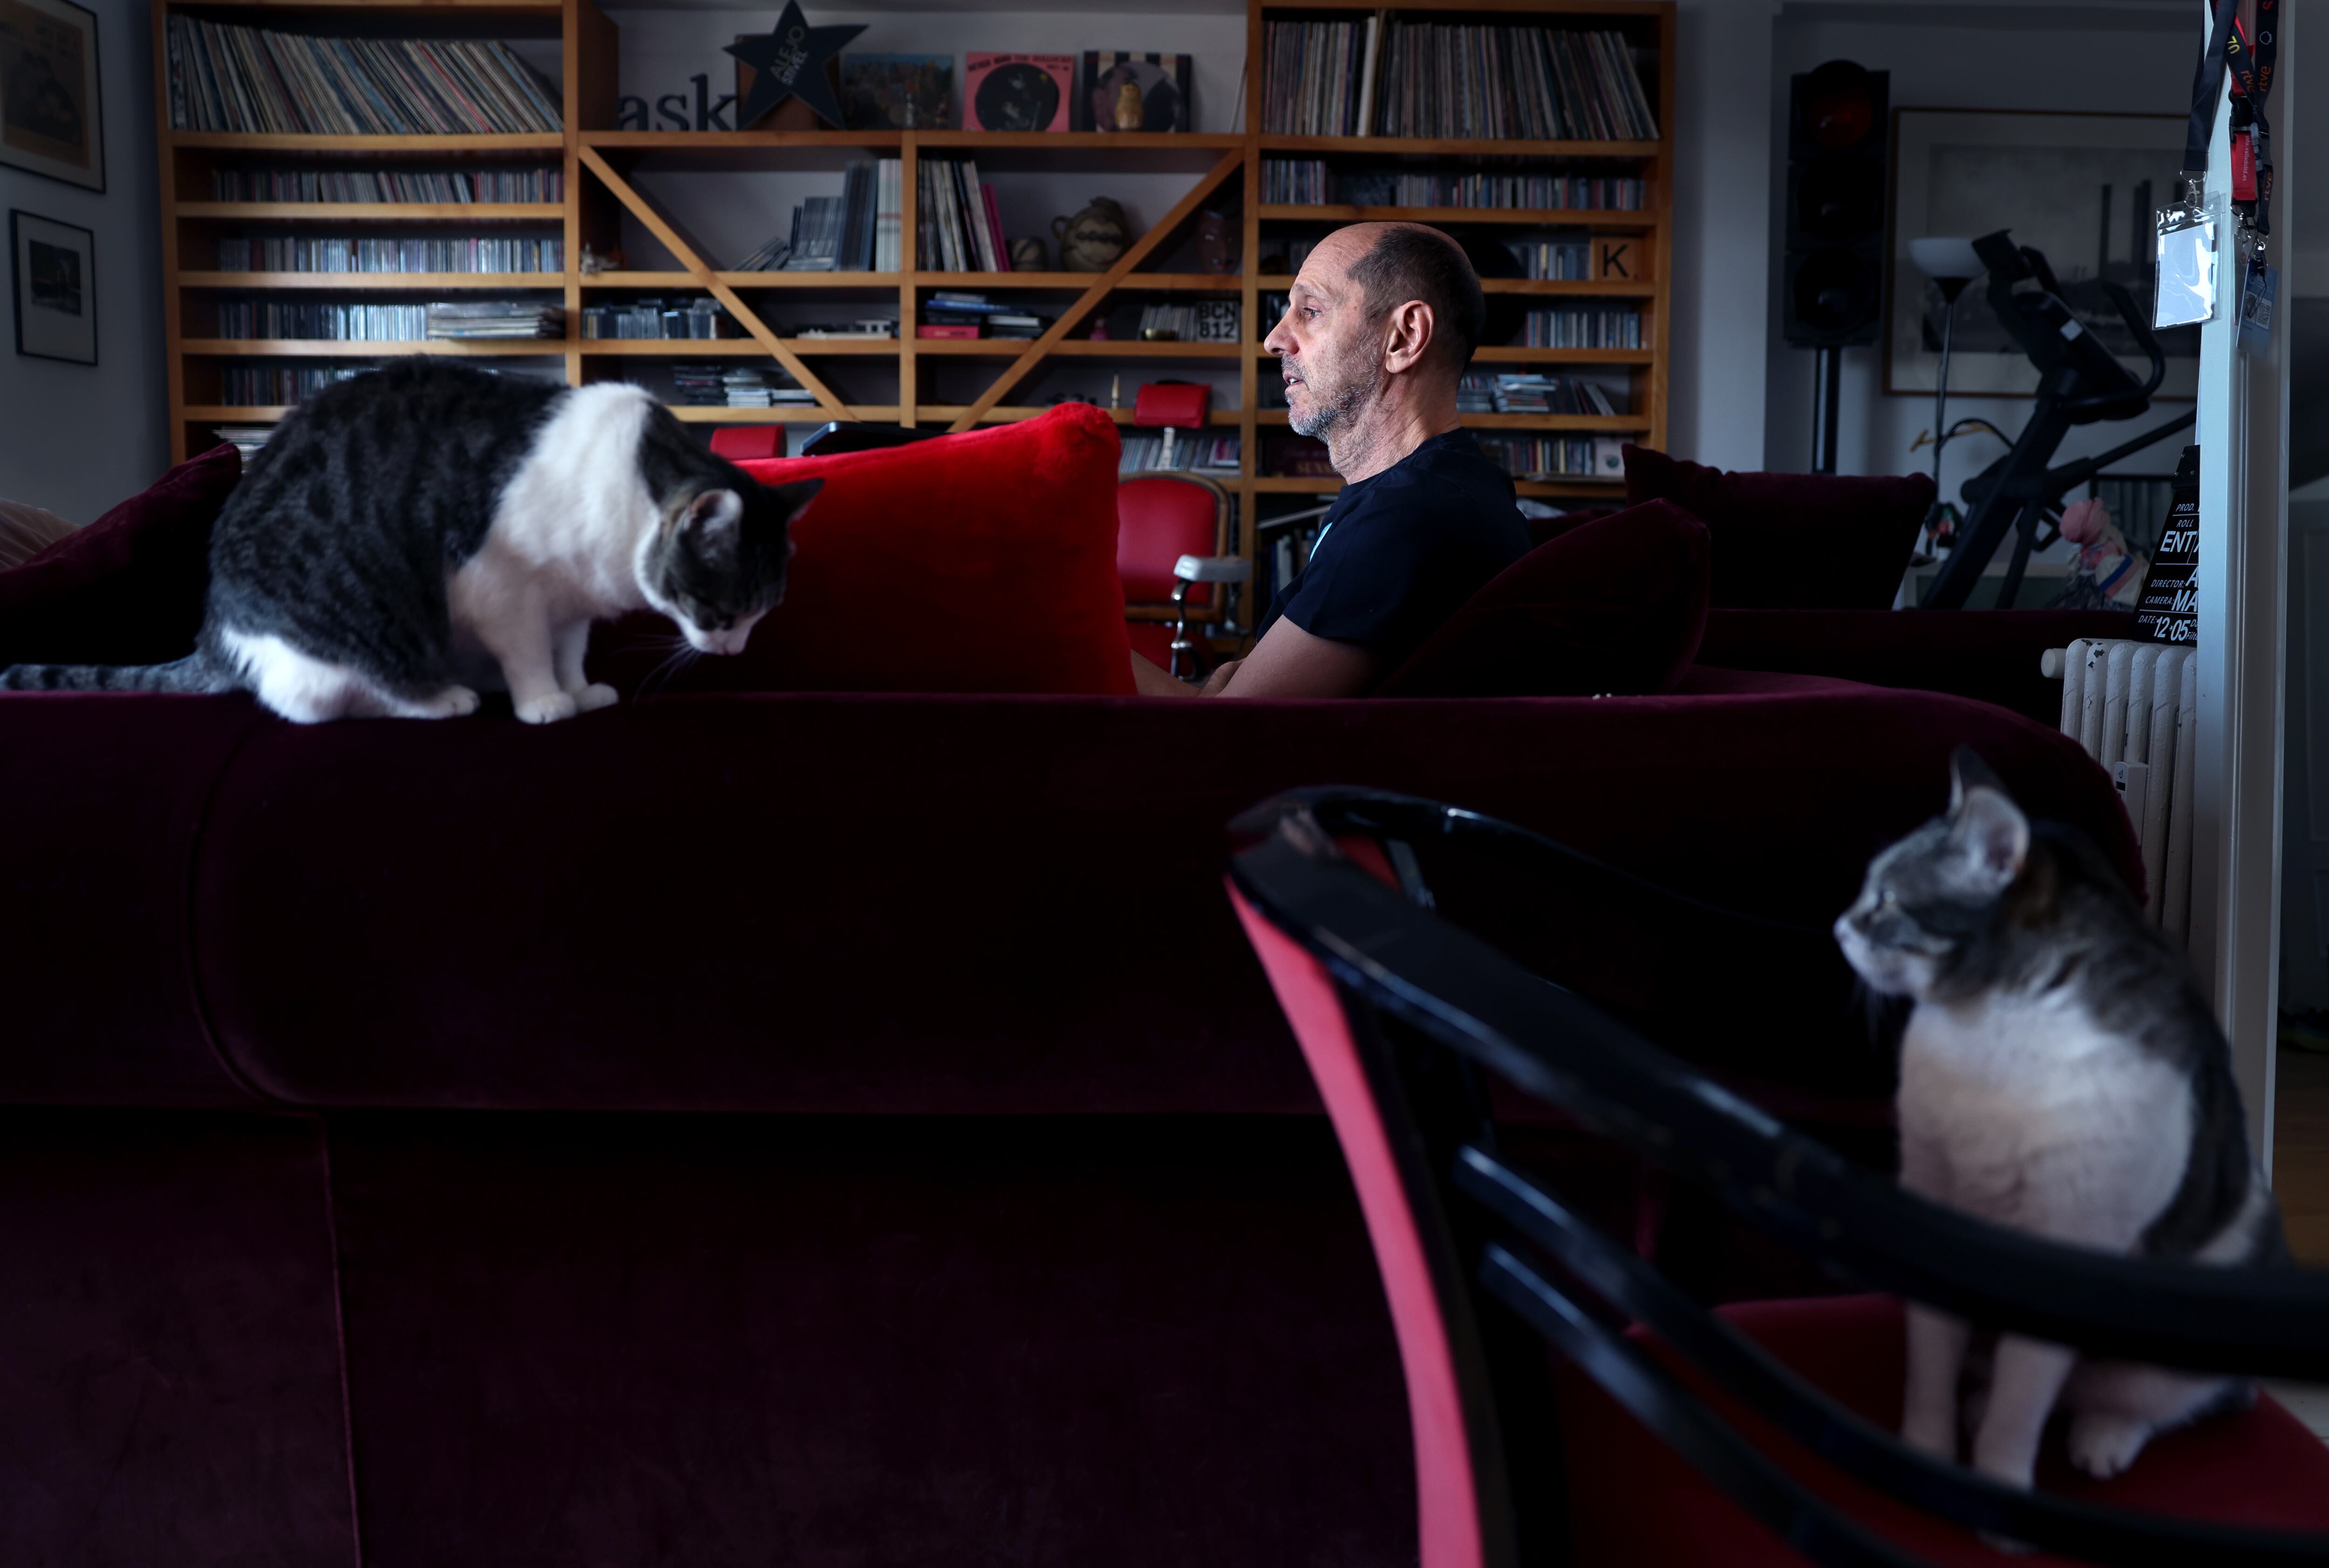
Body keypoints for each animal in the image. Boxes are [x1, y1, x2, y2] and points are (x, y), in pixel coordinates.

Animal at [0, 361, 820, 722]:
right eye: (723, 613)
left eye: (760, 615)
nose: (732, 651)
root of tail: (216, 636)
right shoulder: (503, 587)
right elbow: (529, 653)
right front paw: (544, 702)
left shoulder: (569, 602)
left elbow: (568, 649)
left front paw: (579, 688)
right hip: (361, 628)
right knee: (336, 697)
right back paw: (443, 696)